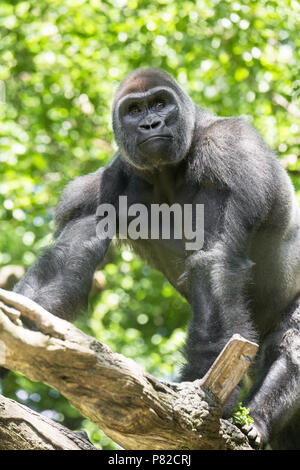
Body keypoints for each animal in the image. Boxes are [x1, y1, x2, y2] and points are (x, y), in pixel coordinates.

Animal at [13, 68, 300, 450]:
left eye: (160, 103)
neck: (168, 169)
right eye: (135, 110)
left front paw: (204, 394)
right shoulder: (108, 184)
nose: (151, 123)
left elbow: (215, 261)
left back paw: (257, 421)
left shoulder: (230, 150)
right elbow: (63, 266)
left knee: (291, 341)